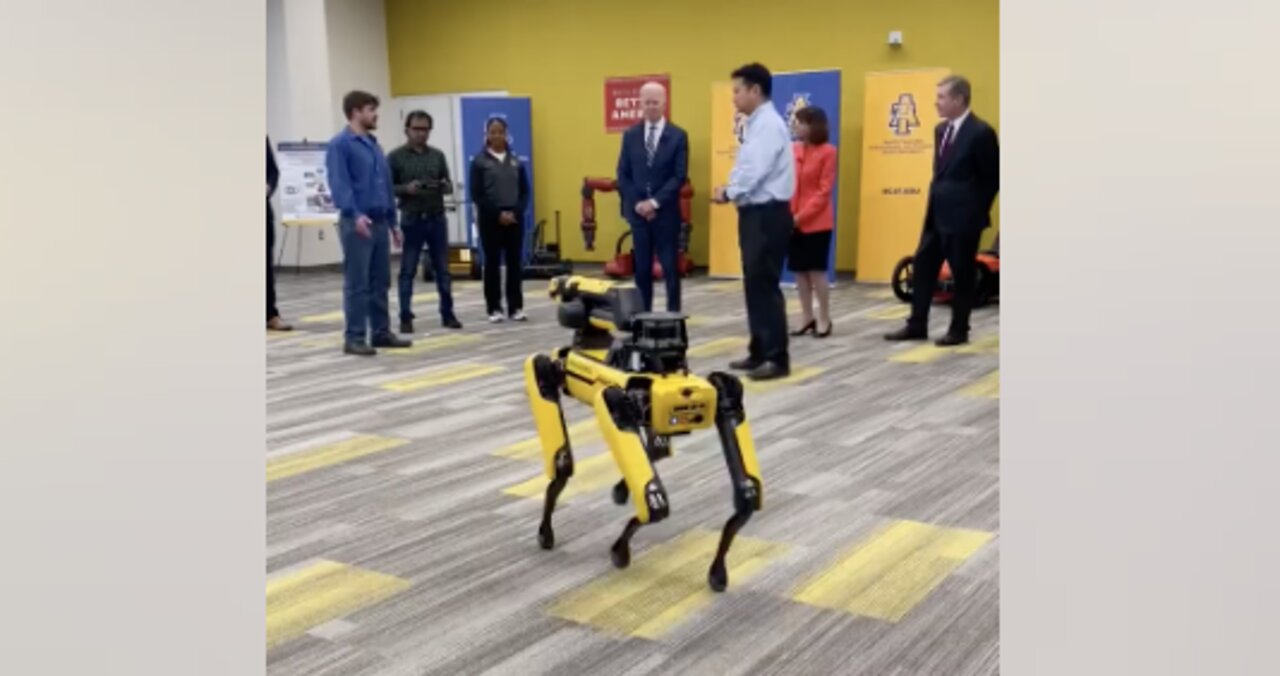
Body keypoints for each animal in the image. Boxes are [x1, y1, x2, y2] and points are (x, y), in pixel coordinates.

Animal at [519, 273, 757, 591]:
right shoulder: (614, 400)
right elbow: (654, 503)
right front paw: (619, 549)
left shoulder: (724, 396)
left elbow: (747, 494)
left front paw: (718, 571)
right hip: (556, 371)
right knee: (543, 375)